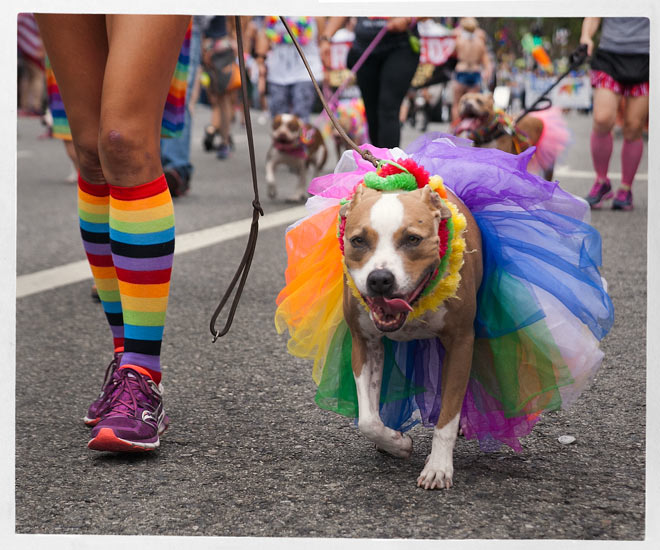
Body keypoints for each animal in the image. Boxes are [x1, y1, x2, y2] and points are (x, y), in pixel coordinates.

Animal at [342, 185, 482, 492]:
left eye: (412, 239)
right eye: (358, 240)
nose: (379, 279)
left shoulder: (461, 342)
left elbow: (447, 417)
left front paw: (438, 467)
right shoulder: (364, 343)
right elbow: (368, 420)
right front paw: (397, 443)